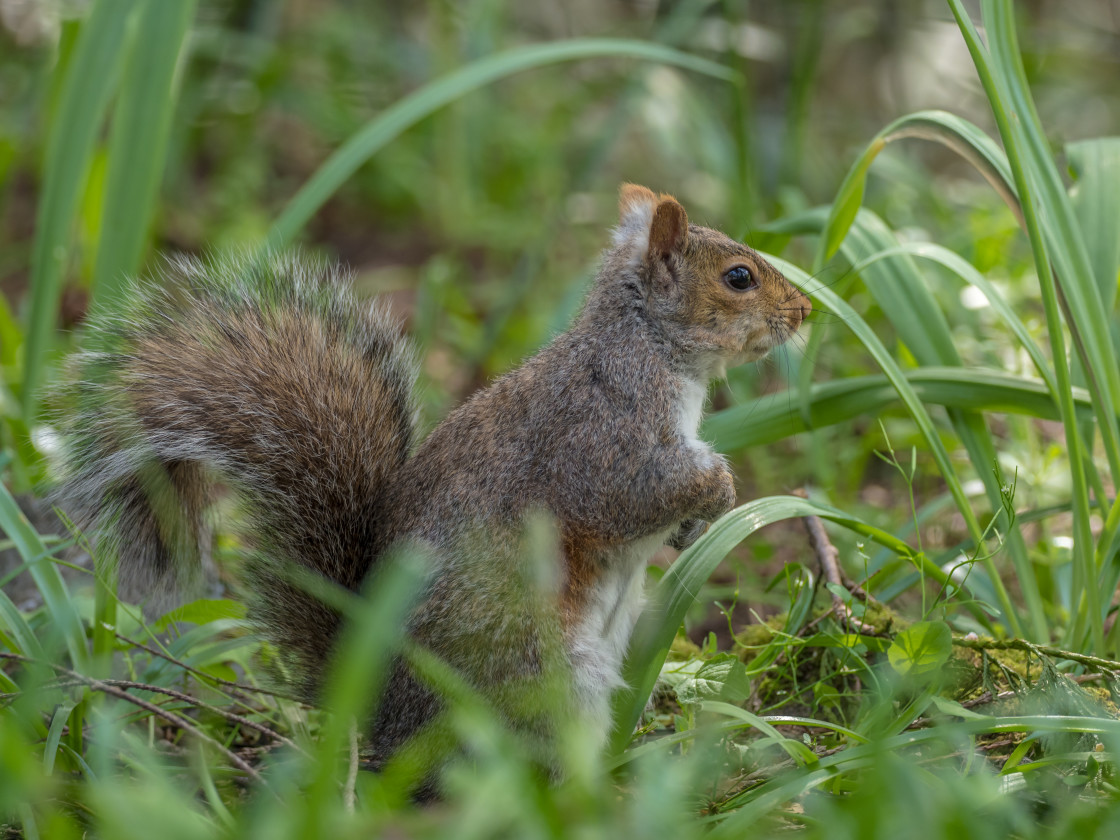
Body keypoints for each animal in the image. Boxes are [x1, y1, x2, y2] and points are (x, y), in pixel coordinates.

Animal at [56, 183, 810, 784]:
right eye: (739, 277)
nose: (805, 312)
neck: (646, 346)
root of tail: (379, 720)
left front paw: (694, 527)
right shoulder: (601, 437)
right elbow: (634, 495)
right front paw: (719, 489)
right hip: (535, 670)